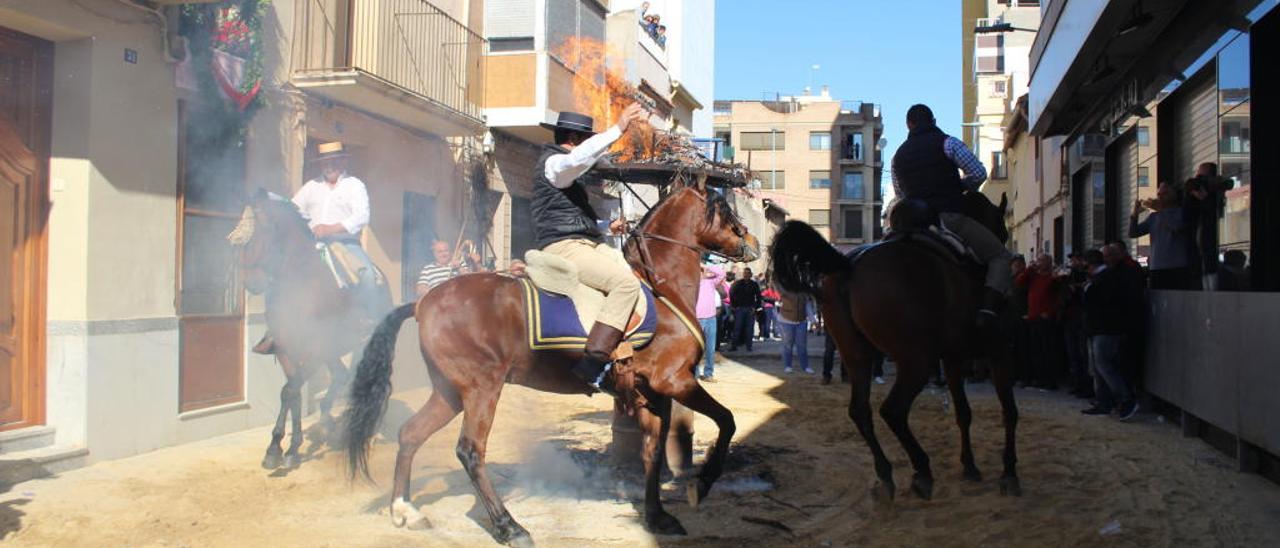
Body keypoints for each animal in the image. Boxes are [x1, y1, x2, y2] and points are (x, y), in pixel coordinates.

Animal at [230, 190, 378, 468]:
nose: (252, 283)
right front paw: (282, 448)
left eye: (266, 228)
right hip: (333, 352)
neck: (299, 283)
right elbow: (293, 393)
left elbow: (290, 390)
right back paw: (327, 423)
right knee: (340, 376)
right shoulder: (286, 348)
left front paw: (281, 448)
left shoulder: (315, 351)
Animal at [343, 181, 757, 545]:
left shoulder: (652, 393)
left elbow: (652, 452)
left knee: (411, 434)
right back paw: (509, 527)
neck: (661, 288)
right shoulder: (674, 381)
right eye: (724, 210)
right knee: (470, 451)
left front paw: (657, 516)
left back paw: (405, 510)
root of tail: (423, 302)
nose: (751, 242)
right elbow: (726, 421)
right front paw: (701, 483)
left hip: (448, 392)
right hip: (481, 390)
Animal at [762, 190, 1024, 501]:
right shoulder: (1000, 352)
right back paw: (922, 470)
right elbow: (1009, 412)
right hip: (916, 361)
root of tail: (848, 265)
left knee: (860, 411)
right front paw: (1009, 472)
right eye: (1003, 231)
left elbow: (963, 412)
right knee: (893, 411)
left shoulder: (952, 359)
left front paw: (970, 466)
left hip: (858, 357)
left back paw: (886, 474)